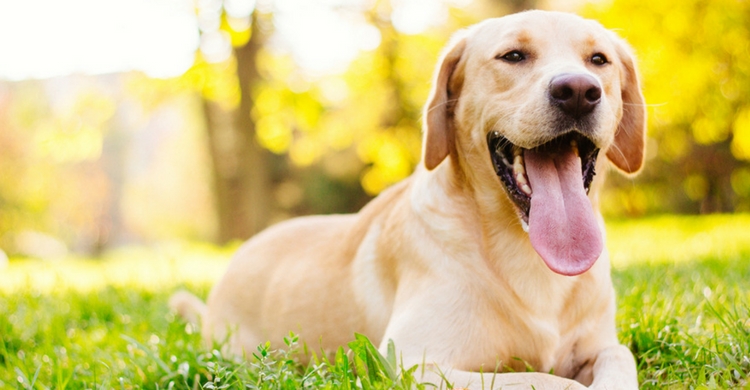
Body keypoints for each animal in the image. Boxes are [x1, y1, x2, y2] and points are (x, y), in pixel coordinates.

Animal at [172, 10, 648, 388]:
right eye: (513, 56)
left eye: (598, 60)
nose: (579, 91)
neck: (526, 248)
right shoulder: (413, 362)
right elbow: (547, 380)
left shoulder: (601, 346)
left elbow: (619, 358)